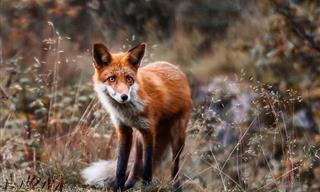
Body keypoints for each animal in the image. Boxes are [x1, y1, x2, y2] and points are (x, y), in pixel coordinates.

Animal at [82, 42, 192, 191]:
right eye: (112, 78)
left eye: (129, 78)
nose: (124, 96)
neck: (128, 113)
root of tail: (176, 68)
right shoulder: (124, 130)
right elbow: (121, 166)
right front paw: (118, 187)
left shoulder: (149, 131)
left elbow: (147, 166)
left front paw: (146, 187)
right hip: (139, 139)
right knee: (135, 164)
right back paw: (128, 184)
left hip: (177, 137)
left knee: (174, 166)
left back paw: (176, 187)